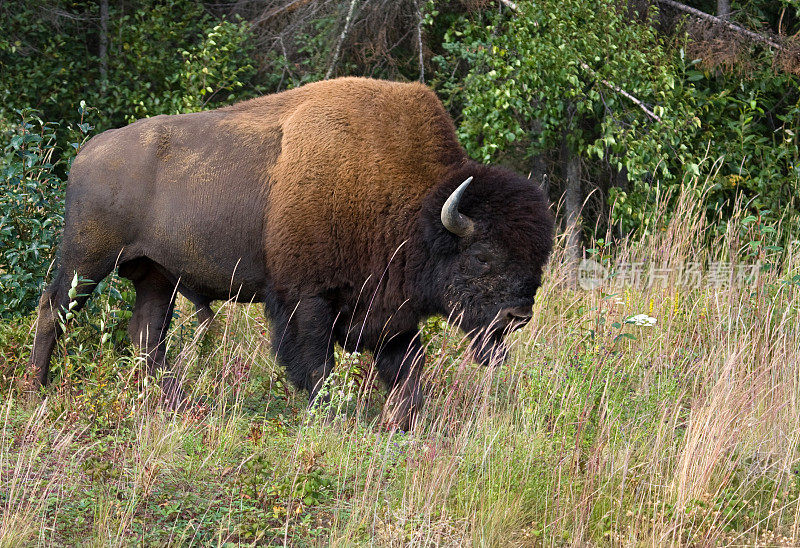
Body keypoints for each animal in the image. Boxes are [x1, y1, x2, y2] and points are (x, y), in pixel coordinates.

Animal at [31, 77, 556, 428]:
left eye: (539, 258)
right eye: (483, 257)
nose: (518, 315)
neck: (416, 207)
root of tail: (86, 153)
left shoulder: (393, 313)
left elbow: (407, 372)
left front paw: (403, 424)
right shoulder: (306, 299)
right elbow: (315, 365)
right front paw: (333, 418)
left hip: (157, 275)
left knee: (146, 334)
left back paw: (174, 406)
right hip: (86, 262)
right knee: (52, 311)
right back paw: (38, 392)